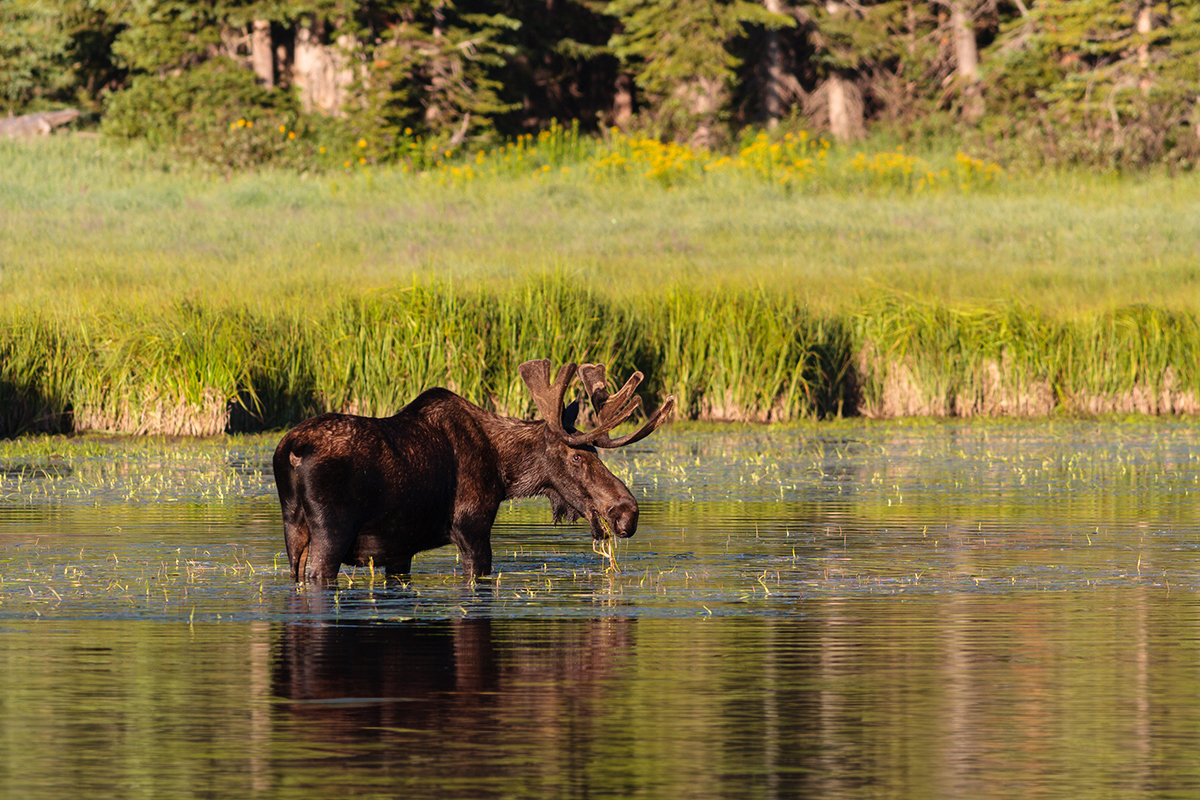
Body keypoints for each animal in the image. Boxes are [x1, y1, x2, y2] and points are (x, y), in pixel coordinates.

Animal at [271, 359, 676, 585]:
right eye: (577, 457)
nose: (627, 512)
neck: (504, 471)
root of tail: (290, 451)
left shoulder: (399, 549)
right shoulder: (471, 528)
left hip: (293, 528)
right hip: (332, 531)